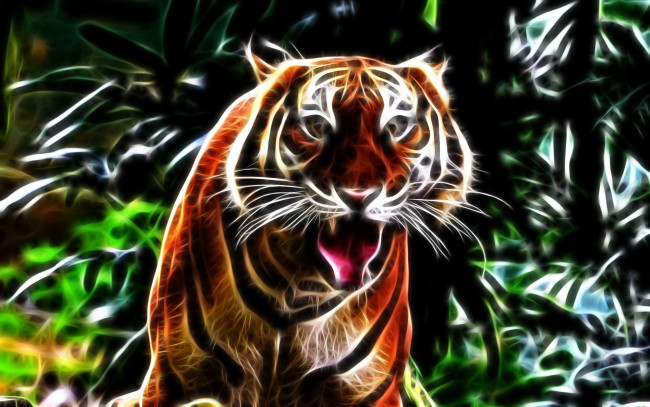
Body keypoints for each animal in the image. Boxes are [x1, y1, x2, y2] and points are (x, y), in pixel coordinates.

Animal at [110, 46, 473, 407]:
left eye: (397, 126)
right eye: (316, 125)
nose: (359, 194)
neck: (299, 286)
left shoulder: (367, 390)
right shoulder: (169, 382)